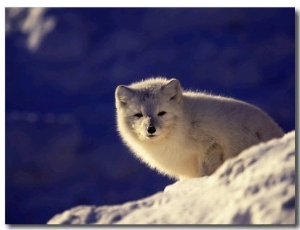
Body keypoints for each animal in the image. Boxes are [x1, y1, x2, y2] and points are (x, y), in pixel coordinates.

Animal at [114, 77, 284, 180]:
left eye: (161, 113)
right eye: (138, 115)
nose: (151, 129)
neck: (184, 125)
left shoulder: (211, 146)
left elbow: (205, 174)